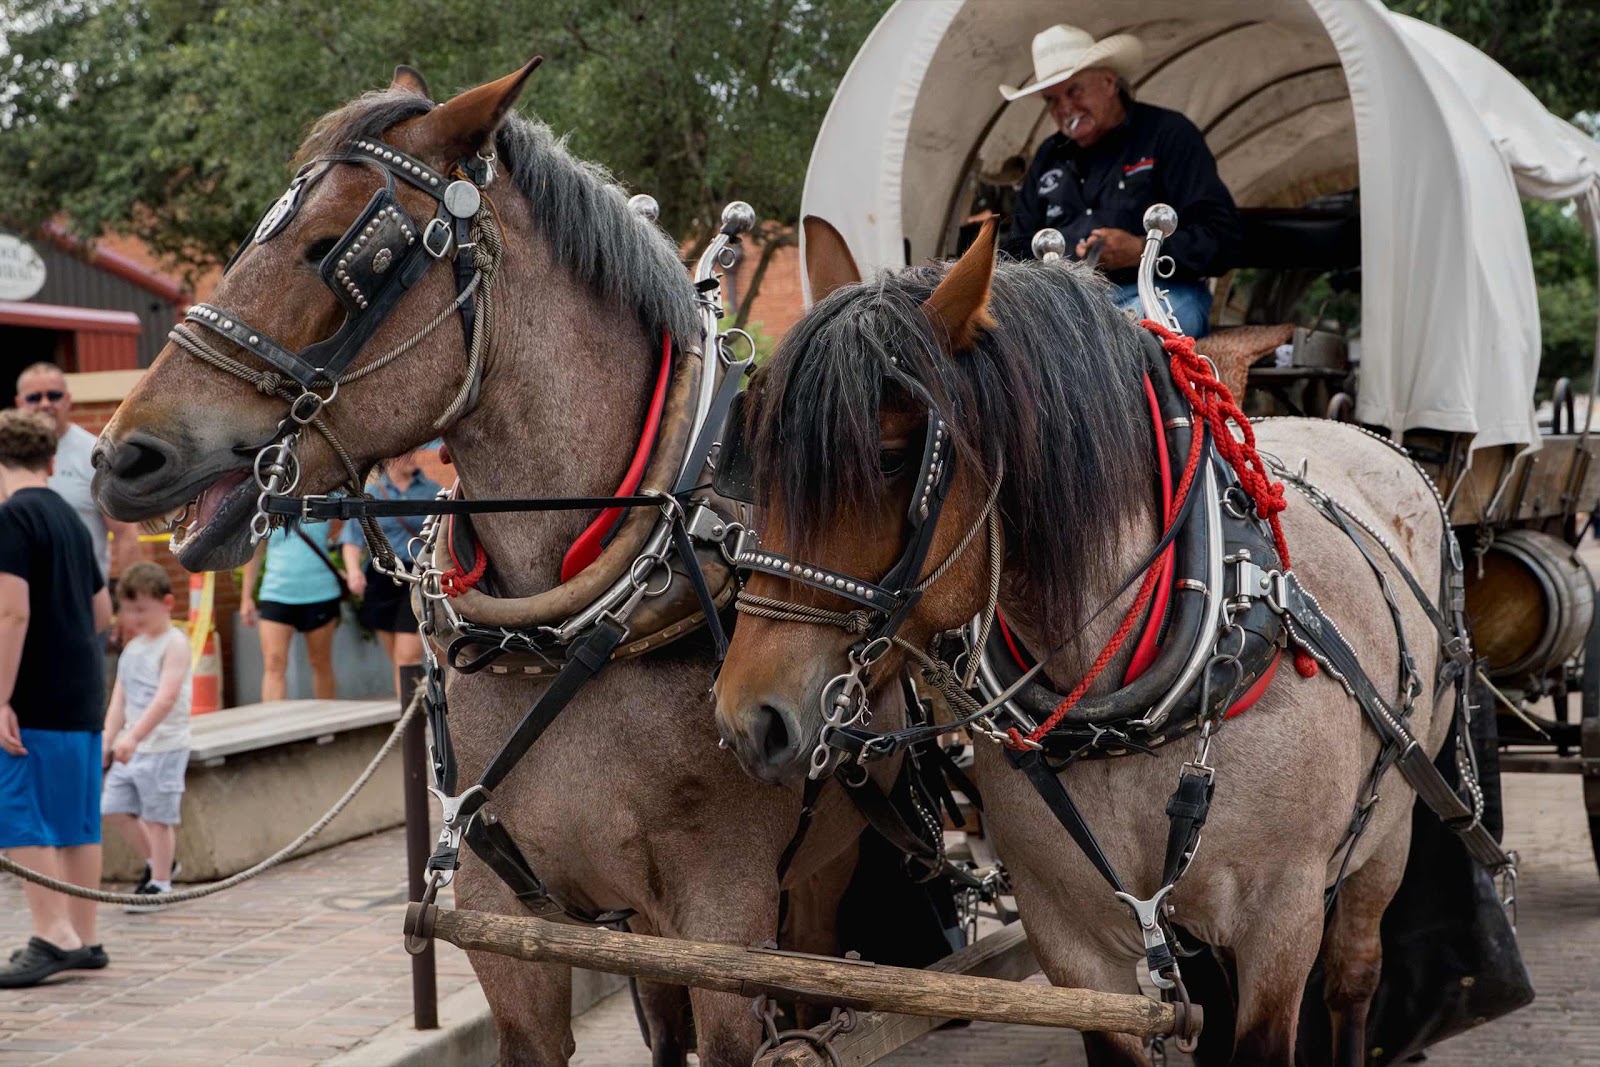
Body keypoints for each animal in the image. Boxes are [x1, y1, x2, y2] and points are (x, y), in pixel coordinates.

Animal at [712, 220, 1457, 1066]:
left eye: (894, 456)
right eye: (754, 464)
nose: (748, 718)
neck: (1128, 706)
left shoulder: (1282, 919)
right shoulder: (1071, 939)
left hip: (1390, 830)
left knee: (1354, 975)